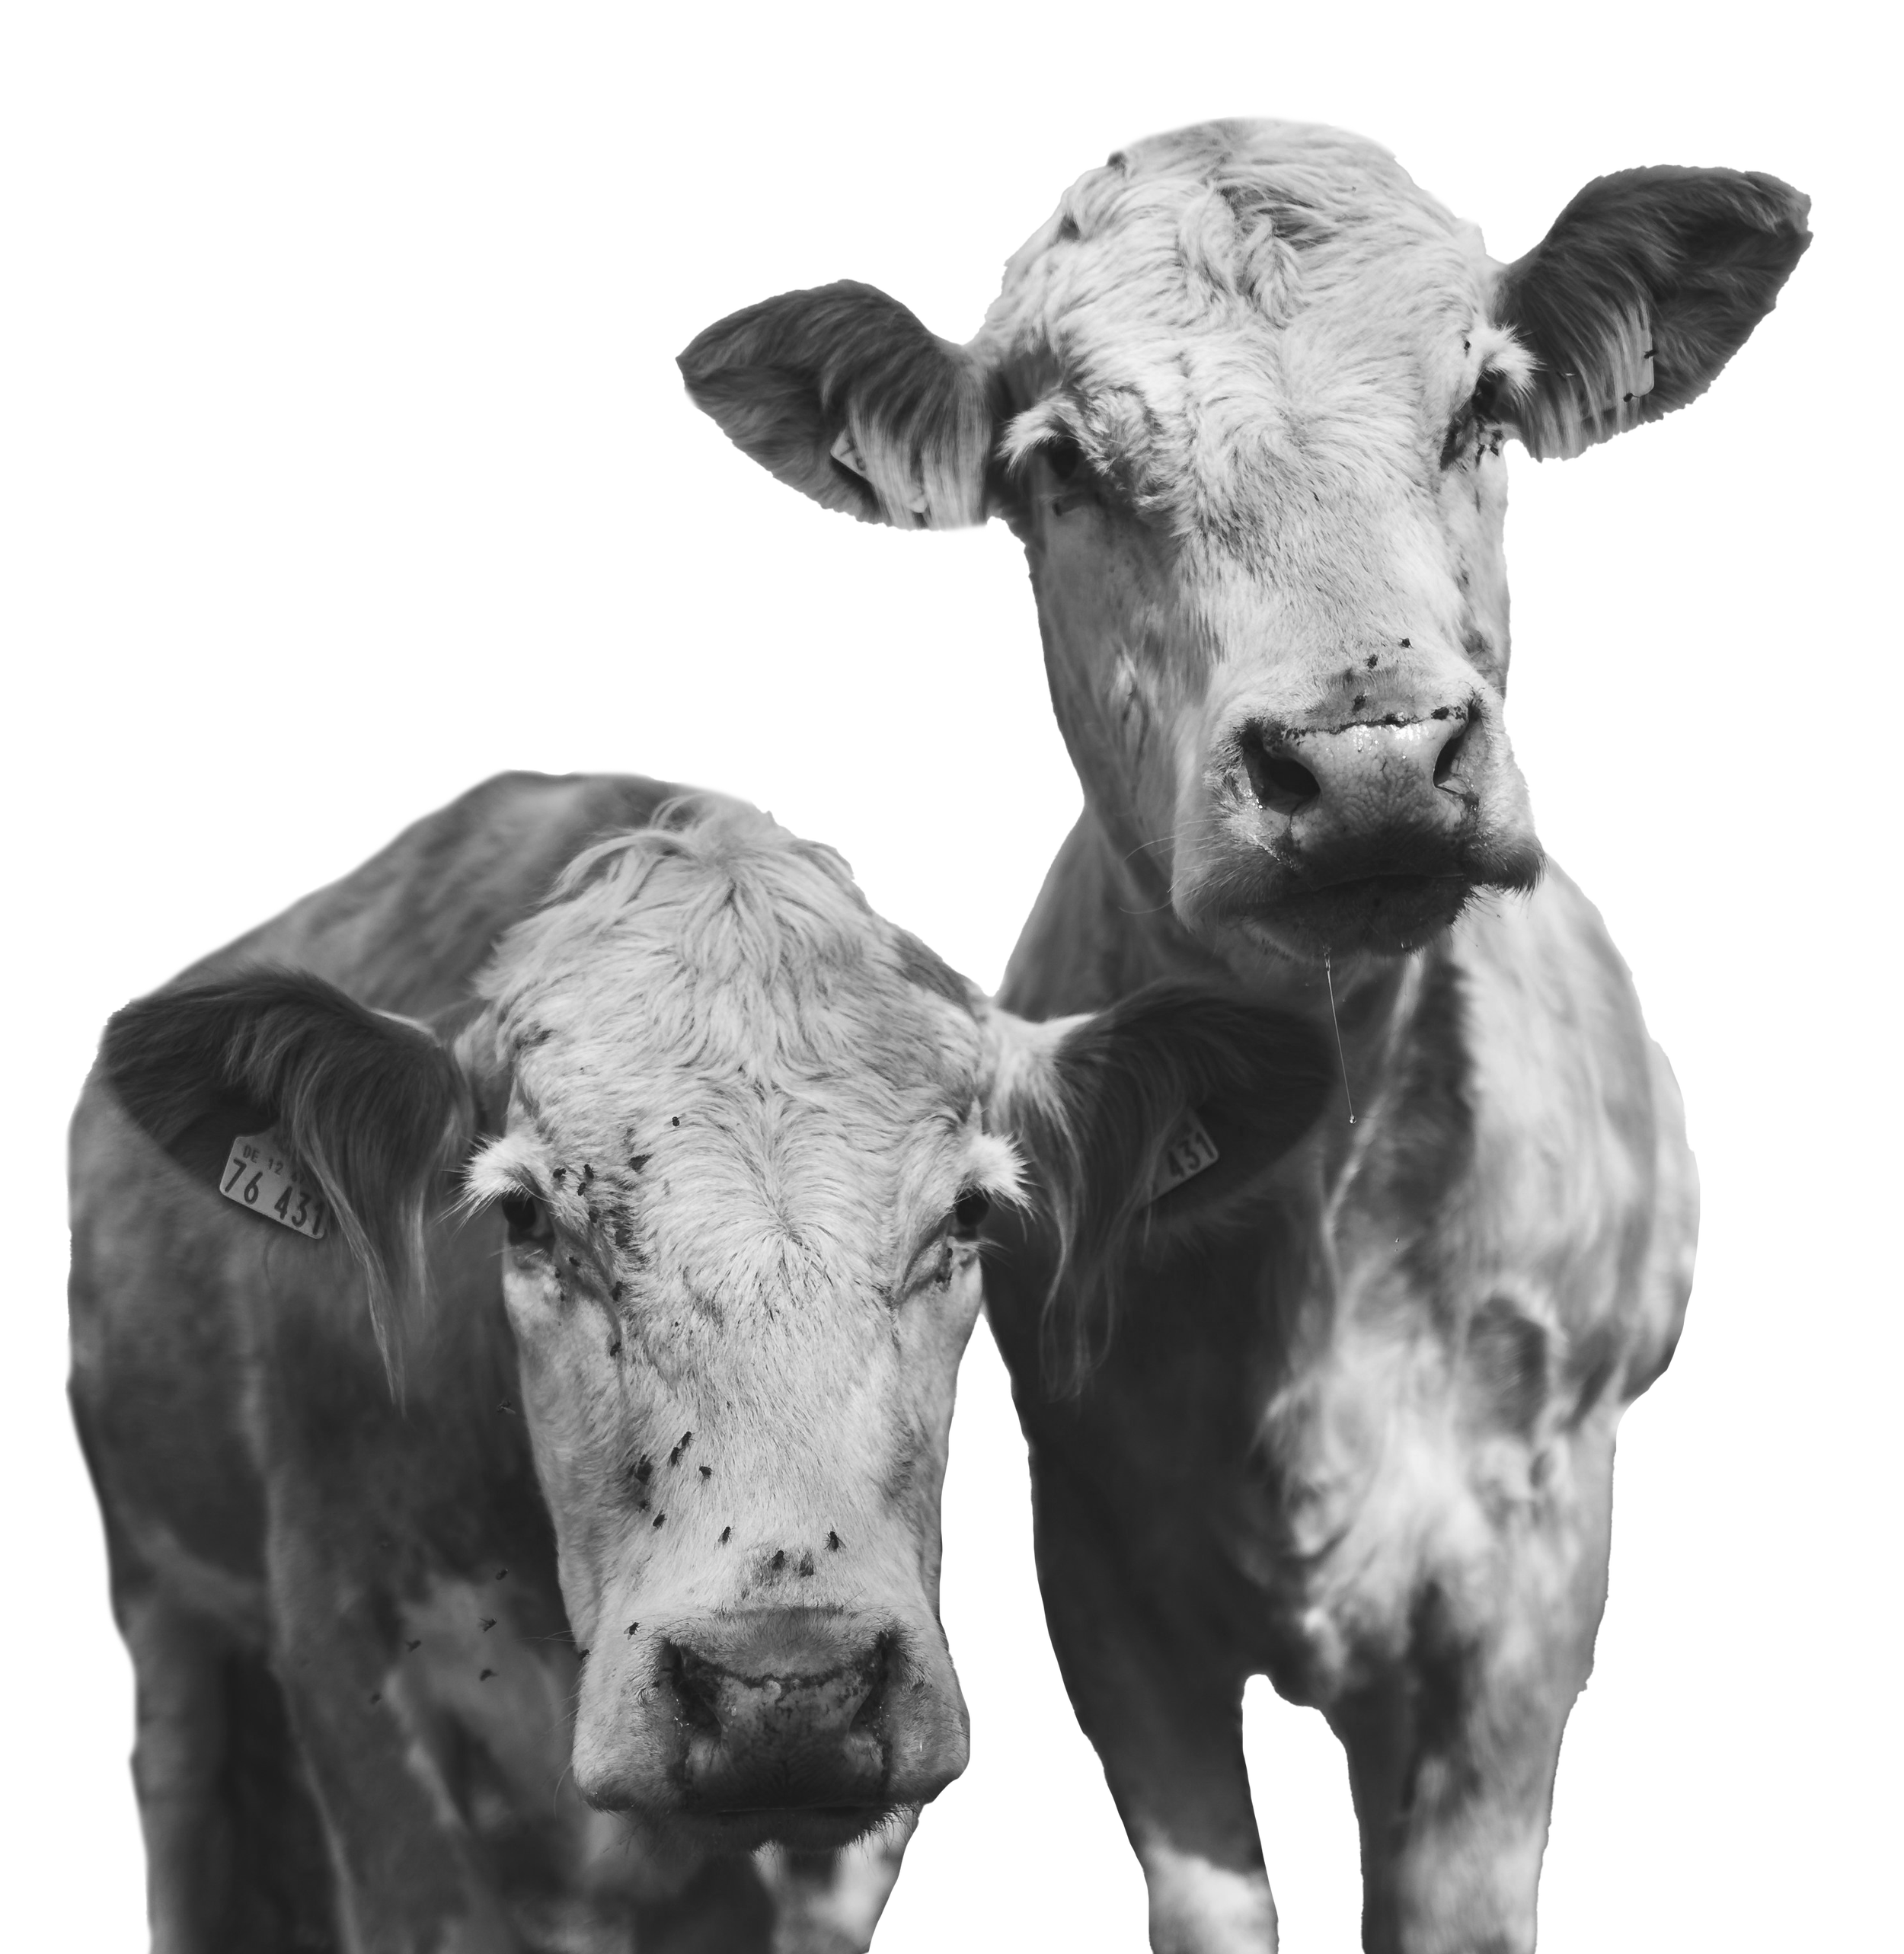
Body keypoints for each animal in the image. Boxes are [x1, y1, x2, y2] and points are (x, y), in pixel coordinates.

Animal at [676, 118, 1809, 1952]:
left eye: (1481, 406)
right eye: (1063, 468)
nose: (1371, 754)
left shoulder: (1531, 1544)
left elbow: (1453, 1891)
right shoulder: (1102, 1553)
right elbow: (1202, 1887)